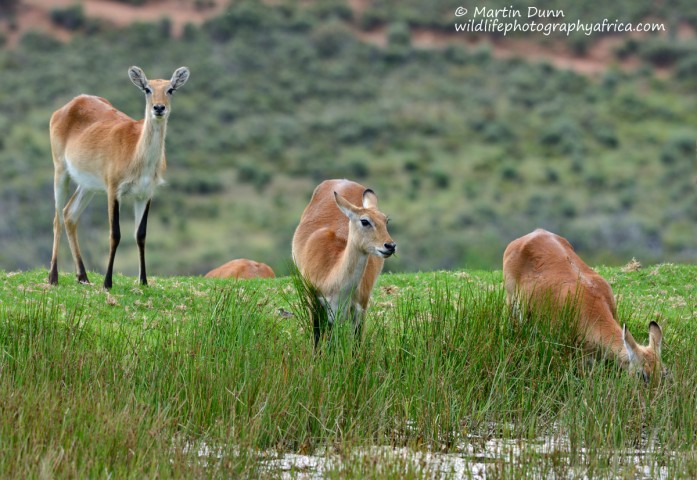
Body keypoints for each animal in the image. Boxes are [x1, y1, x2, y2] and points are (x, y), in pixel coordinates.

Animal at [48, 63, 190, 288]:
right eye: (147, 89)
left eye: (171, 89)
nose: (159, 108)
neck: (136, 154)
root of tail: (72, 103)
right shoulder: (114, 190)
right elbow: (115, 234)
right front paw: (107, 282)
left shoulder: (145, 194)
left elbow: (141, 234)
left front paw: (143, 281)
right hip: (60, 171)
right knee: (57, 219)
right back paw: (53, 277)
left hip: (87, 185)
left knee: (69, 214)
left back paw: (83, 276)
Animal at [290, 179, 396, 344]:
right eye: (365, 221)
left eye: (386, 220)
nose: (390, 246)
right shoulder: (315, 304)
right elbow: (318, 339)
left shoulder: (360, 309)